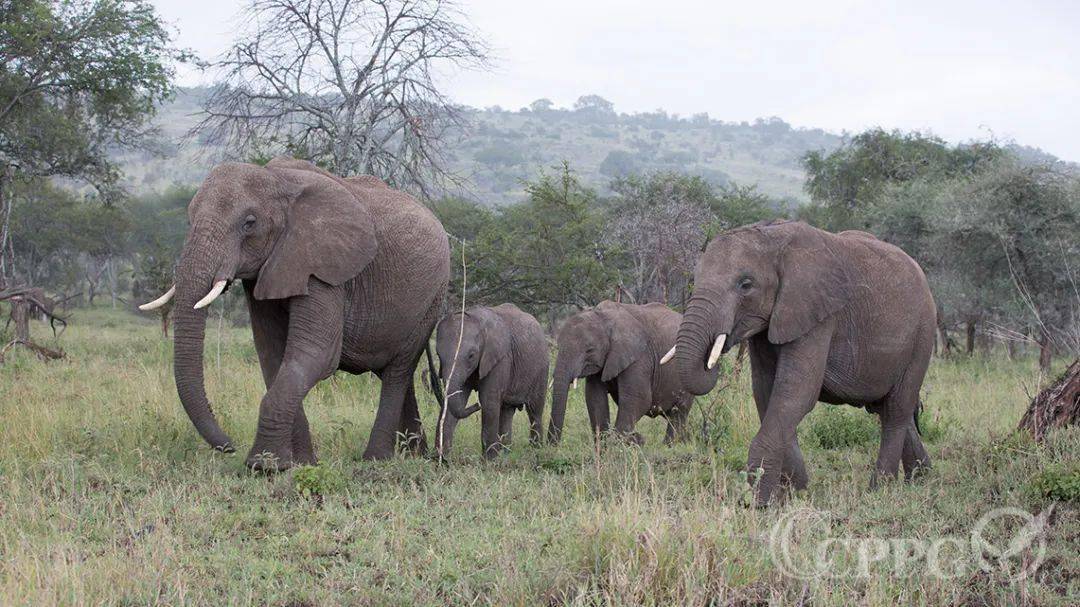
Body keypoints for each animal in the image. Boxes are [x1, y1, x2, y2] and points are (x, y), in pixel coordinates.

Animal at [139, 155, 451, 468]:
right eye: (189, 219)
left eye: (249, 223)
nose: (229, 447)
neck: (279, 182)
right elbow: (273, 356)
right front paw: (297, 464)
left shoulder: (322, 266)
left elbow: (315, 355)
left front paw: (262, 465)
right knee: (396, 374)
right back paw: (414, 454)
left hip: (431, 299)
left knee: (398, 371)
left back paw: (376, 460)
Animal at [432, 304, 548, 455]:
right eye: (438, 355)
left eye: (471, 355)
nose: (476, 405)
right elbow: (459, 400)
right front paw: (441, 458)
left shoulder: (500, 358)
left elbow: (489, 402)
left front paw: (489, 460)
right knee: (507, 411)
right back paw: (506, 454)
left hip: (541, 368)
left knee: (535, 411)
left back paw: (536, 451)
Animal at [548, 298, 691, 444]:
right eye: (558, 346)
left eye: (589, 350)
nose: (552, 445)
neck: (603, 317)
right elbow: (594, 397)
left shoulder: (640, 357)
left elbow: (639, 399)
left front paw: (630, 441)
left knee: (678, 412)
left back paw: (669, 445)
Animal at [665, 219, 928, 503]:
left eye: (745, 285)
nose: (714, 350)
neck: (773, 239)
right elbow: (767, 393)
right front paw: (794, 491)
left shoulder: (818, 315)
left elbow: (796, 393)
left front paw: (759, 501)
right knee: (886, 408)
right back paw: (920, 478)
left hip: (921, 337)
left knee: (896, 410)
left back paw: (880, 490)